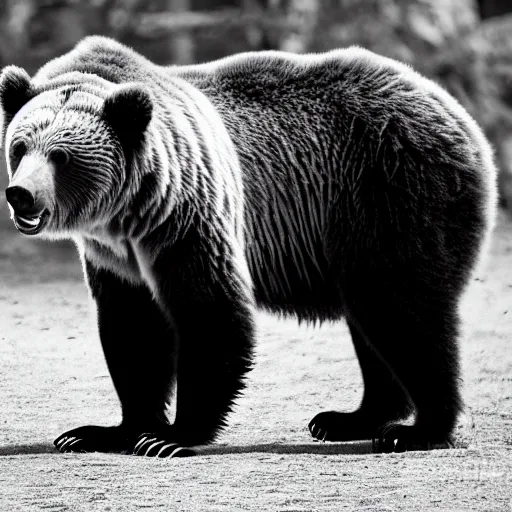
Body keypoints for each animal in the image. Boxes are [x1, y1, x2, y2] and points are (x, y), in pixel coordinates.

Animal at [0, 36, 496, 456]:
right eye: (20, 146)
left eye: (61, 156)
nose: (20, 194)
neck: (127, 212)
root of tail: (458, 113)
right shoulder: (115, 256)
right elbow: (133, 330)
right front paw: (102, 431)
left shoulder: (187, 216)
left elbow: (211, 313)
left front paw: (171, 437)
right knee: (374, 320)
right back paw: (349, 418)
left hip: (390, 193)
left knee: (405, 309)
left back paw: (417, 430)